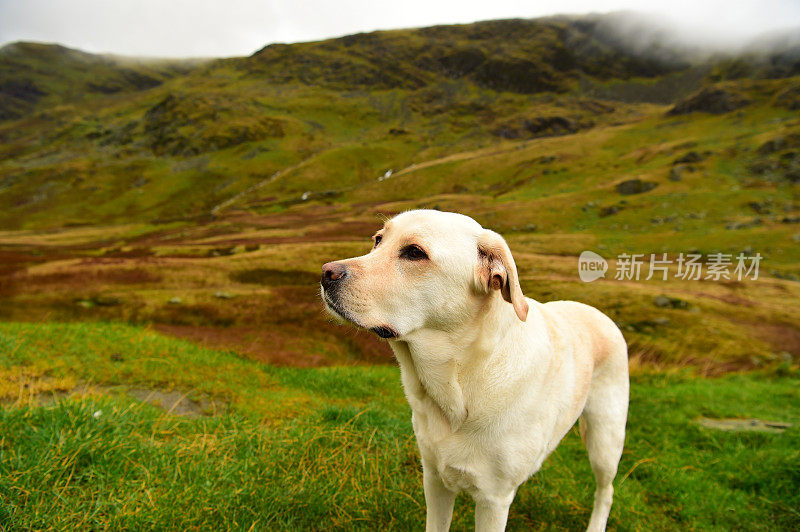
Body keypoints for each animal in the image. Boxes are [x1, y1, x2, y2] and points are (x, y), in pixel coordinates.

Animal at [322, 210, 628, 528]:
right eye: (378, 240)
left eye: (415, 252)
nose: (326, 273)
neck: (463, 379)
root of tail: (598, 312)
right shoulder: (435, 479)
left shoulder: (494, 500)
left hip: (605, 439)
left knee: (606, 491)